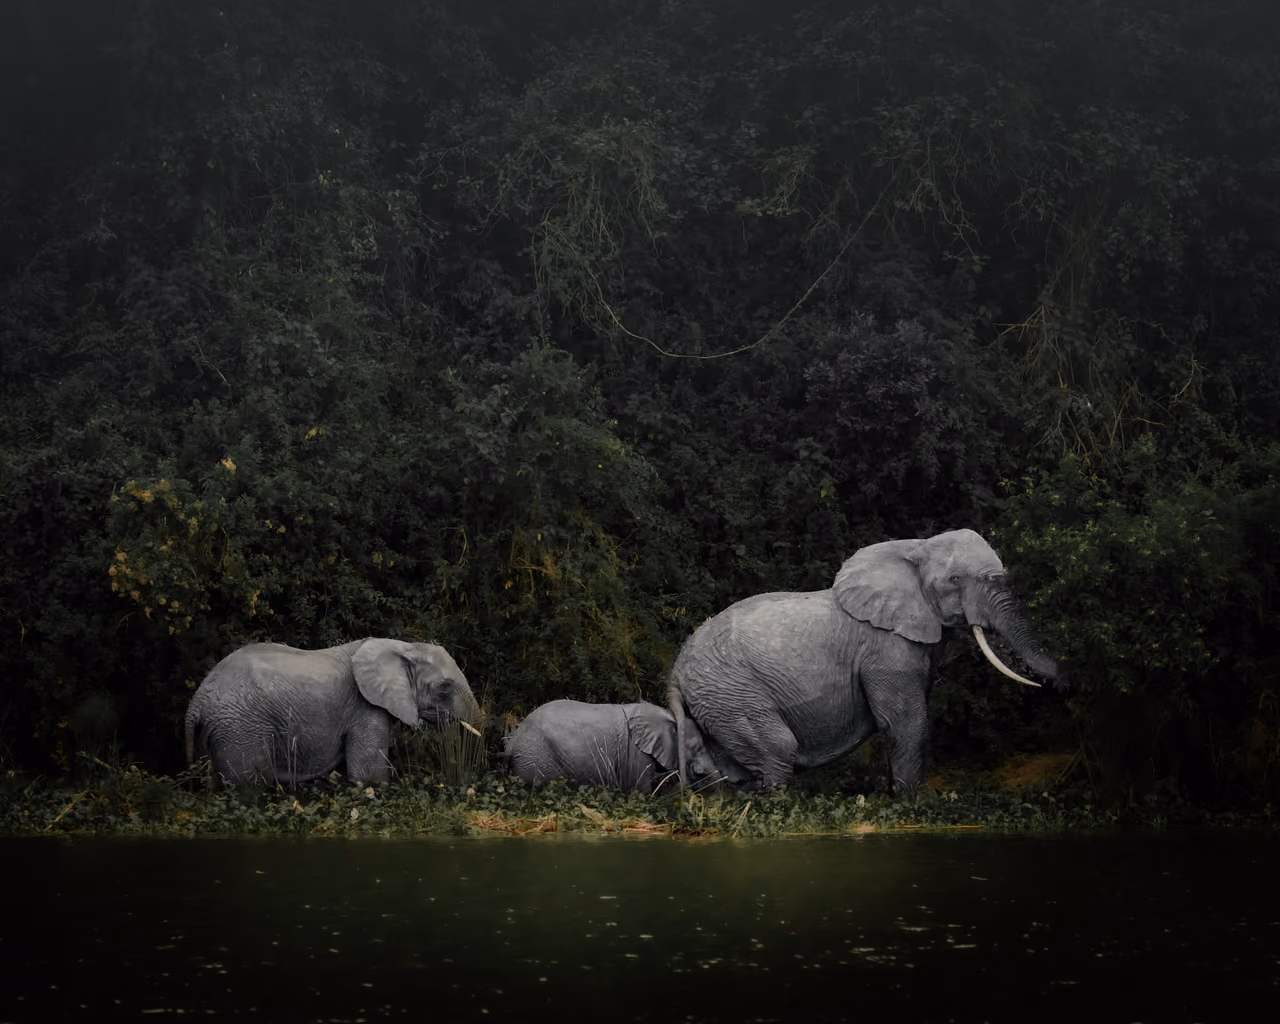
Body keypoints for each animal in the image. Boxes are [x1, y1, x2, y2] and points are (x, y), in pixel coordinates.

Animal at [185, 638, 481, 786]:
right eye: (444, 688)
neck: (404, 647)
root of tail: (196, 702)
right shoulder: (365, 708)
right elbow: (368, 777)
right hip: (239, 729)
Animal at [504, 699, 731, 794]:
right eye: (696, 748)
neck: (668, 715)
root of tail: (513, 740)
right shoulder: (635, 752)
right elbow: (640, 791)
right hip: (536, 758)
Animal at [667, 529, 1065, 792]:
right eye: (955, 579)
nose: (1061, 682)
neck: (914, 548)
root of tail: (674, 671)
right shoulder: (886, 650)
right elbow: (907, 724)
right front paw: (909, 805)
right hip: (732, 693)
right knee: (778, 751)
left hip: (718, 700)